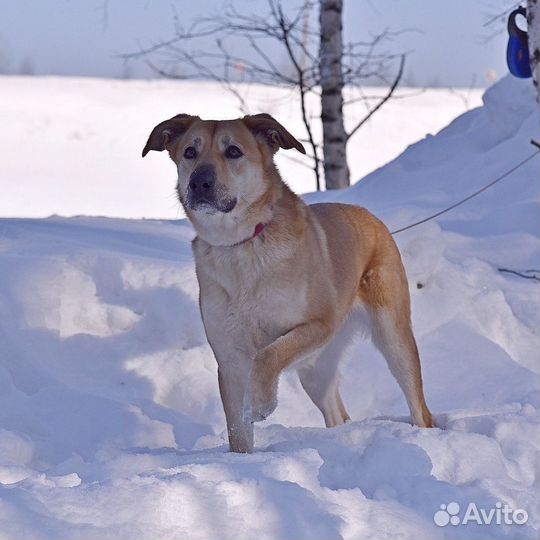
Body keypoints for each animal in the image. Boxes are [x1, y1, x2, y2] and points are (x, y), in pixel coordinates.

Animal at [143, 113, 434, 452]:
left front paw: (260, 403)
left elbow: (268, 354)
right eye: (190, 152)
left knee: (419, 406)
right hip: (316, 369)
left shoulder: (318, 324)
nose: (199, 182)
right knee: (338, 414)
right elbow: (238, 430)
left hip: (392, 336)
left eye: (233, 151)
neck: (242, 245)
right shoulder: (230, 357)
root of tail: (371, 218)